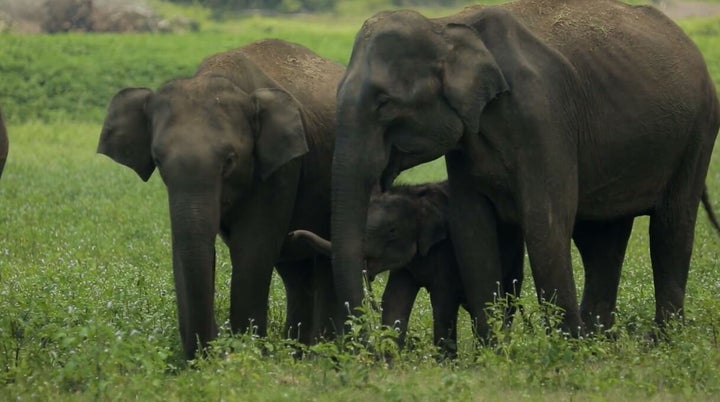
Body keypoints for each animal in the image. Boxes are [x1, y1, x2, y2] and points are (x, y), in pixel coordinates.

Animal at [97, 39, 344, 360]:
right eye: (158, 160)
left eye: (229, 160)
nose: (211, 349)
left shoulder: (281, 166)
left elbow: (253, 247)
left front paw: (246, 354)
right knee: (295, 269)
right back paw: (298, 351)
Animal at [288, 181, 524, 354]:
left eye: (392, 231)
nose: (292, 234)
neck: (416, 197)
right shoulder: (407, 265)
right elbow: (394, 299)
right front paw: (389, 361)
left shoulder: (447, 250)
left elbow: (443, 299)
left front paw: (444, 363)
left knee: (508, 298)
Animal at [332, 0, 720, 342]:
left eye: (384, 103)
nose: (367, 344)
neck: (446, 26)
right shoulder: (467, 139)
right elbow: (471, 227)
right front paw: (494, 352)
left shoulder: (543, 116)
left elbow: (544, 221)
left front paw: (567, 349)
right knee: (603, 238)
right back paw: (602, 340)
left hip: (698, 131)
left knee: (671, 227)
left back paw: (658, 341)